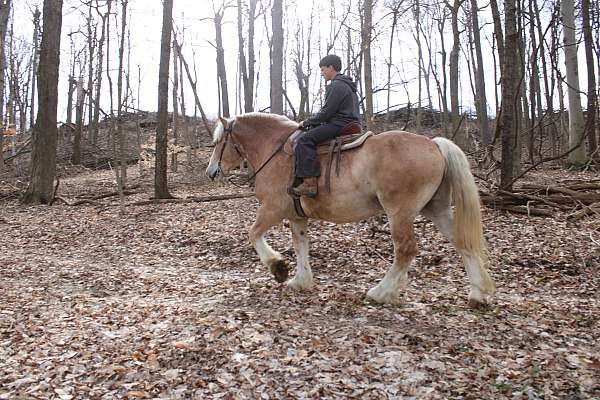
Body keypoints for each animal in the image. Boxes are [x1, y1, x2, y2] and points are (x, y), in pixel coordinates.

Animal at [204, 111, 494, 308]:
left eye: (219, 142)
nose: (211, 171)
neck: (276, 151)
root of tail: (434, 144)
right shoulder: (296, 216)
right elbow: (300, 246)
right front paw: (301, 280)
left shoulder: (273, 209)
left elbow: (253, 234)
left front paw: (278, 267)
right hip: (436, 209)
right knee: (461, 242)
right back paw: (477, 294)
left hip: (399, 213)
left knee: (406, 250)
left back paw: (381, 292)